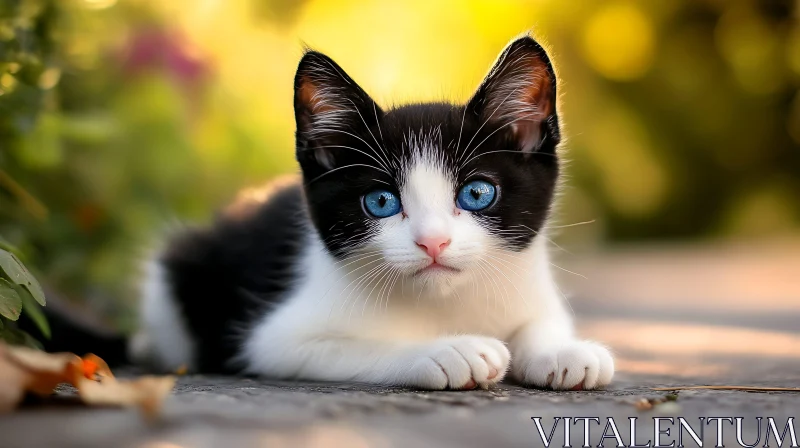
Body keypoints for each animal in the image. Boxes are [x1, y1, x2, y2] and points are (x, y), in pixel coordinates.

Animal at [134, 35, 616, 390]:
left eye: (477, 193)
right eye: (381, 202)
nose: (433, 241)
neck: (444, 303)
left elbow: (541, 320)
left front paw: (562, 351)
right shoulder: (274, 340)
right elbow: (361, 347)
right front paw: (447, 351)